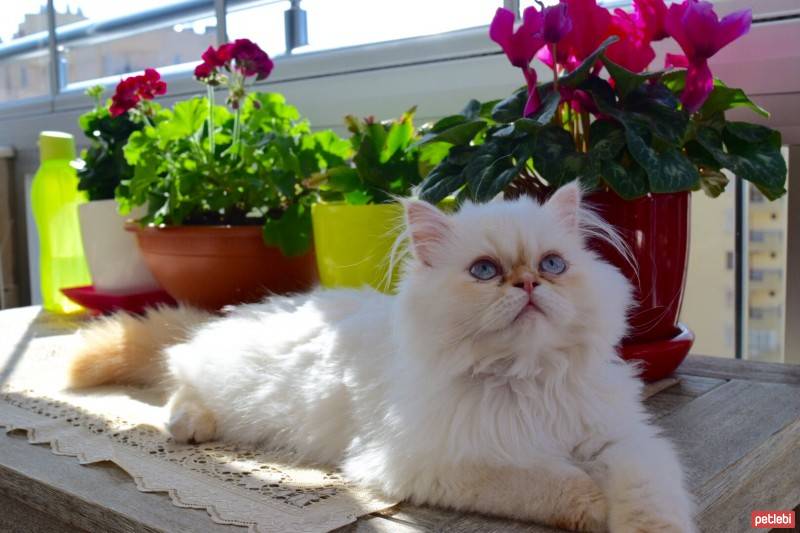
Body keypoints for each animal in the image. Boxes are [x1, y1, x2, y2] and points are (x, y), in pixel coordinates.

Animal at [69, 181, 692, 528]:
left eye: (553, 265)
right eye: (485, 271)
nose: (528, 284)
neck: (526, 378)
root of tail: (247, 311)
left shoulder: (619, 437)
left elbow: (649, 494)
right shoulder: (439, 463)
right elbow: (543, 481)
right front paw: (588, 502)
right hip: (224, 382)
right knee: (179, 377)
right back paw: (188, 424)